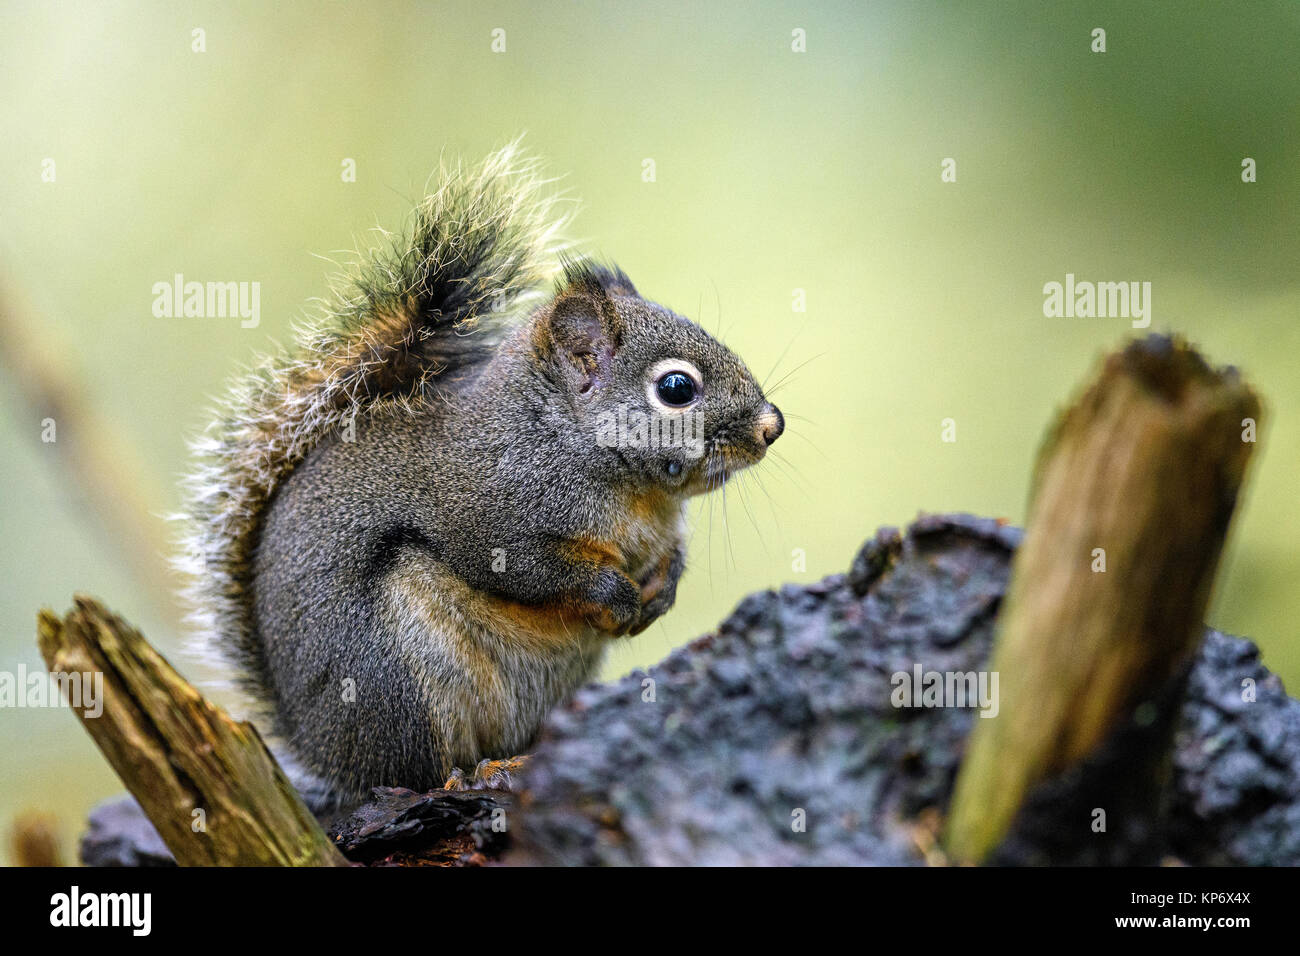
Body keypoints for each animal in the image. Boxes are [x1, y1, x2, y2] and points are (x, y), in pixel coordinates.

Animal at [177, 142, 784, 809]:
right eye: (676, 388)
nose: (772, 425)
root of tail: (326, 754)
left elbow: (670, 560)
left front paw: (663, 592)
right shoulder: (489, 514)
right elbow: (533, 571)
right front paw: (615, 595)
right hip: (397, 678)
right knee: (417, 768)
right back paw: (467, 776)